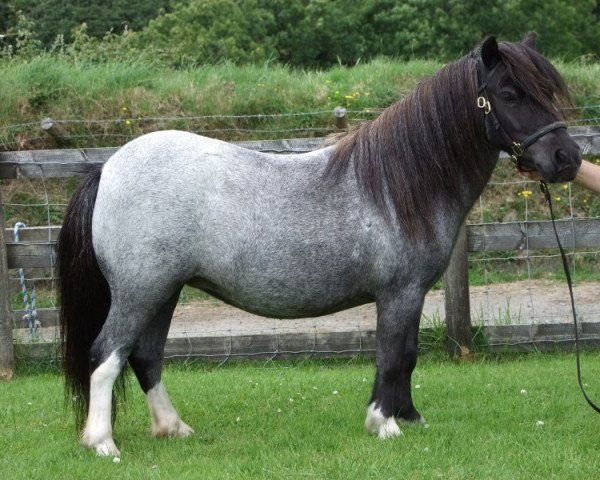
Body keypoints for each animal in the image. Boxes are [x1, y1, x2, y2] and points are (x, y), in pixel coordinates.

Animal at [58, 34, 580, 458]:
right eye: (509, 94)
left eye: (548, 91)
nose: (567, 158)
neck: (398, 185)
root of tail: (108, 168)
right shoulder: (399, 294)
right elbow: (393, 355)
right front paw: (384, 423)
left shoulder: (412, 295)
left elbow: (408, 355)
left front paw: (409, 417)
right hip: (139, 292)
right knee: (106, 355)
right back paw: (102, 442)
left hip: (163, 293)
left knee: (145, 357)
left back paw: (173, 427)